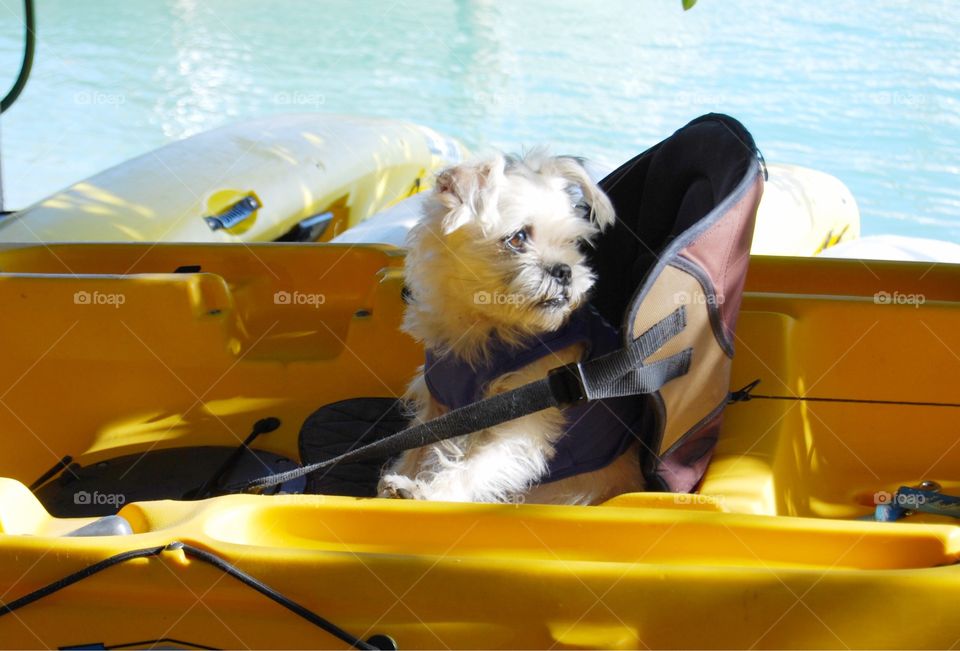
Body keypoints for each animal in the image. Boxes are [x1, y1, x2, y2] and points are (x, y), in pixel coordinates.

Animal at [376, 152, 644, 504]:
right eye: (517, 238)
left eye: (571, 242)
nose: (565, 271)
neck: (485, 325)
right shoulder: (439, 406)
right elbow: (417, 447)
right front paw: (403, 481)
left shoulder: (521, 423)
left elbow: (475, 467)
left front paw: (426, 494)